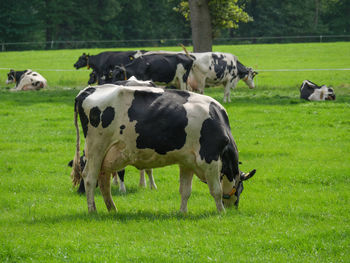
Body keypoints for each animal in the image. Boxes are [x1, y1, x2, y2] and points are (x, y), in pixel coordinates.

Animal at [69, 85, 256, 214]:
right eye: (241, 188)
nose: (234, 208)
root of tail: (89, 89)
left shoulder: (187, 162)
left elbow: (185, 191)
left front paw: (182, 212)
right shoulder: (209, 159)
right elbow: (216, 190)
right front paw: (221, 212)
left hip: (107, 154)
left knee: (104, 180)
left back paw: (112, 209)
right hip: (96, 147)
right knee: (90, 178)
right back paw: (93, 210)